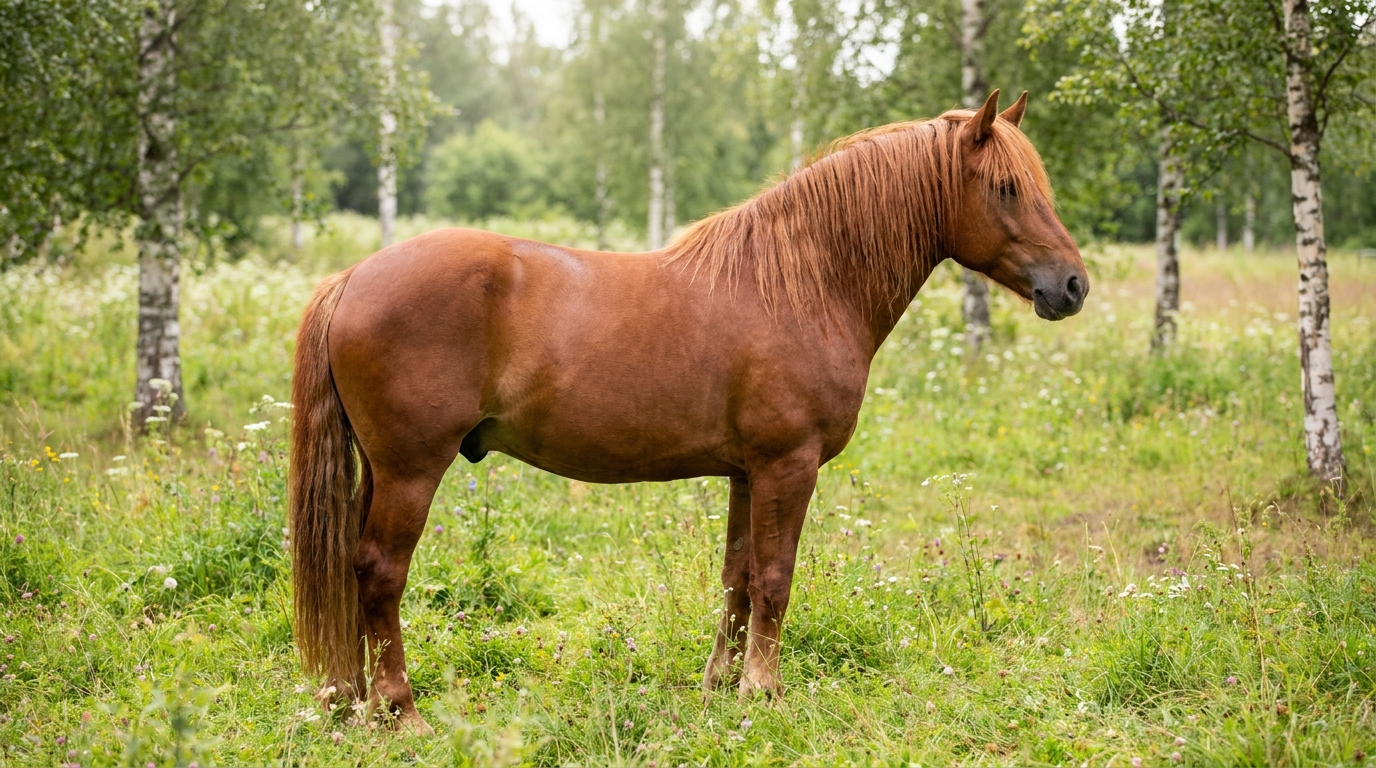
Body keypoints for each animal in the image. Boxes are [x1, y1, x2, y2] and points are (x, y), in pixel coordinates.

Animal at [289, 90, 1087, 732]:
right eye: (1008, 187)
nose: (1073, 286)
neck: (802, 283)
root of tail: (353, 276)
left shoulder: (746, 472)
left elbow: (738, 577)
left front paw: (720, 688)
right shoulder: (787, 466)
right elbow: (775, 577)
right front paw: (764, 691)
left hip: (379, 472)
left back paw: (356, 701)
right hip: (411, 471)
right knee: (379, 573)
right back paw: (401, 711)